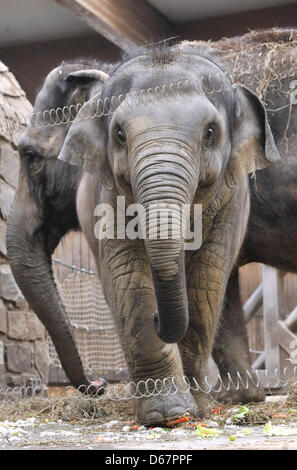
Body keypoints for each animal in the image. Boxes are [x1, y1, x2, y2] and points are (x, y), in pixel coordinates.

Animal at [57, 38, 282, 424]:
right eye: (119, 134)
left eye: (210, 132)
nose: (159, 316)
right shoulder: (109, 196)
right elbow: (129, 277)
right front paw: (165, 414)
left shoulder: (232, 199)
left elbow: (207, 279)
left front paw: (195, 410)